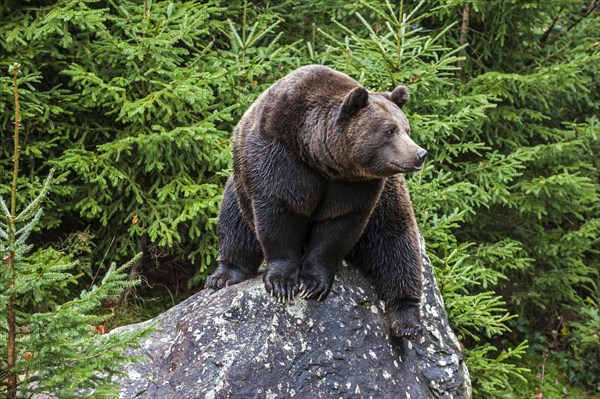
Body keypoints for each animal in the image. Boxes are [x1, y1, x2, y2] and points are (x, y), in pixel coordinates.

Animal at [206, 65, 426, 338]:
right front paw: (282, 283)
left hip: (389, 201)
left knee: (398, 246)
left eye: (406, 129)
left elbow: (338, 227)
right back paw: (223, 275)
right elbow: (279, 213)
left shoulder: (355, 186)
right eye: (389, 130)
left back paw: (407, 322)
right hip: (238, 185)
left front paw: (312, 283)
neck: (319, 157)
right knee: (234, 225)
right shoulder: (278, 158)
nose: (419, 153)